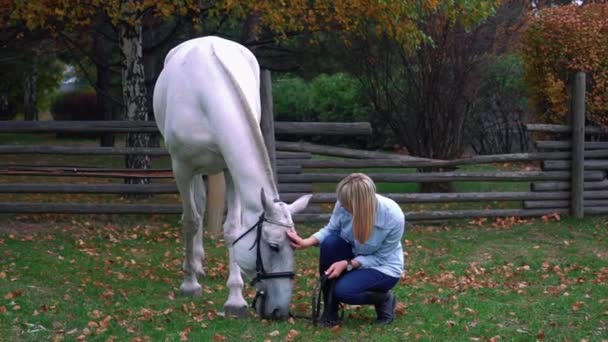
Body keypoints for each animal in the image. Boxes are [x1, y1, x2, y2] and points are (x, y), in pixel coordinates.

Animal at [152, 36, 314, 320]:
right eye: (273, 246)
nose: (279, 311)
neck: (206, 98)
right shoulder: (181, 168)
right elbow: (191, 221)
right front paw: (189, 284)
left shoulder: (230, 171)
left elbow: (232, 230)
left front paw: (235, 300)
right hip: (193, 172)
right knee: (196, 210)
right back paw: (194, 266)